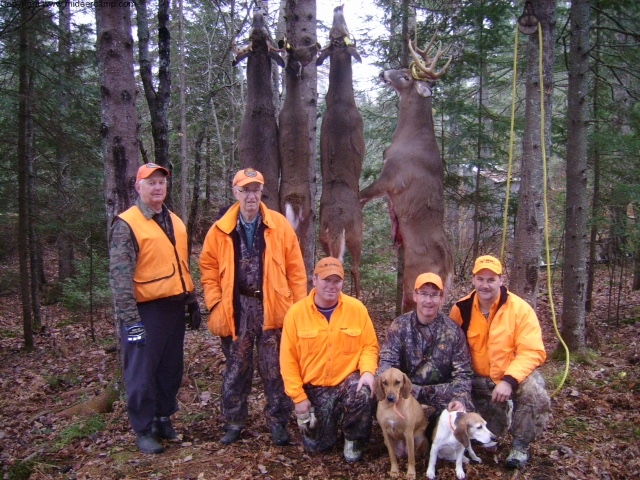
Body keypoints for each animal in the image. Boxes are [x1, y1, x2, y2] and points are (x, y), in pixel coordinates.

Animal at [360, 33, 456, 312]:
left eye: (405, 76)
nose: (383, 72)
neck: (409, 137)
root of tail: (448, 271)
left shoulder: (392, 177)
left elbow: (361, 194)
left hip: (414, 283)